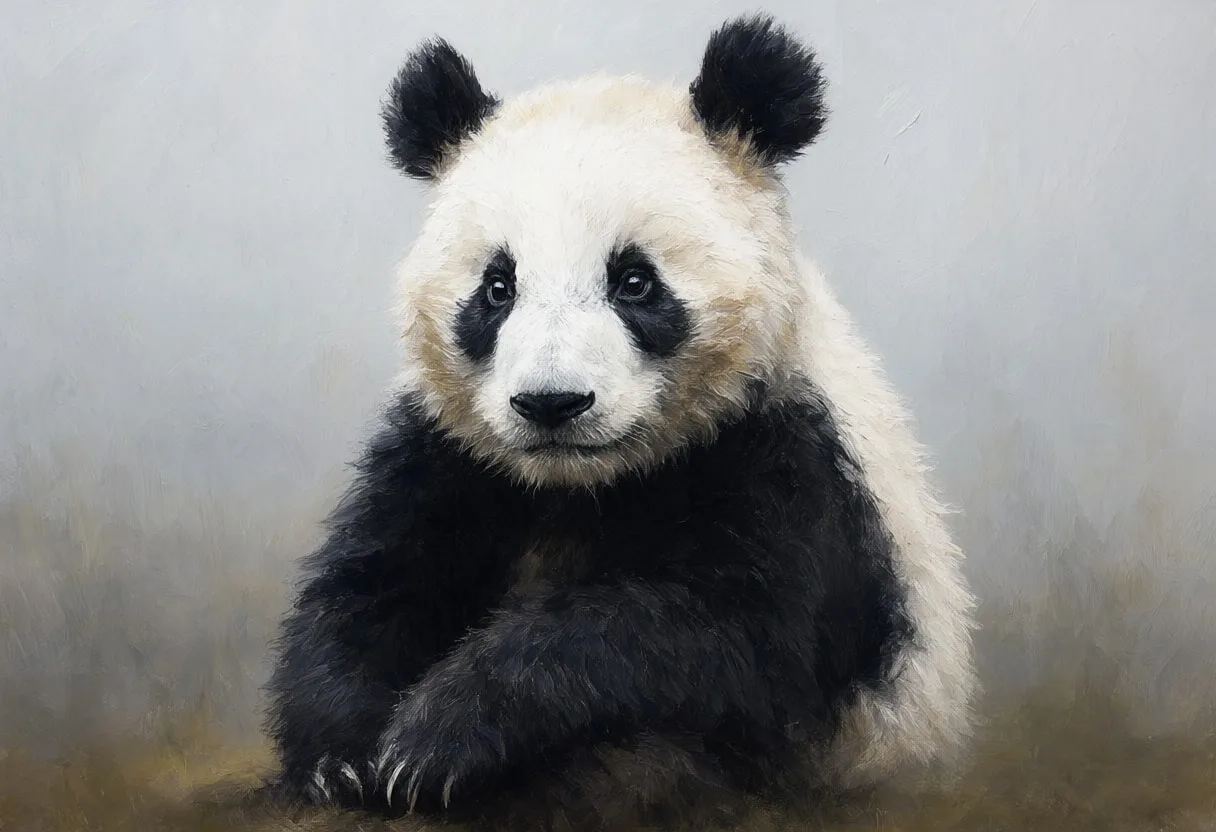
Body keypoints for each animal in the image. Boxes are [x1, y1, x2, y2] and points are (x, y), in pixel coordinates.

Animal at [264, 13, 977, 830]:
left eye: (635, 281)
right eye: (497, 287)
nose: (551, 403)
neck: (585, 483)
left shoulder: (796, 463)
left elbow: (731, 635)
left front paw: (441, 739)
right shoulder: (450, 455)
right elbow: (369, 587)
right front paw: (344, 757)